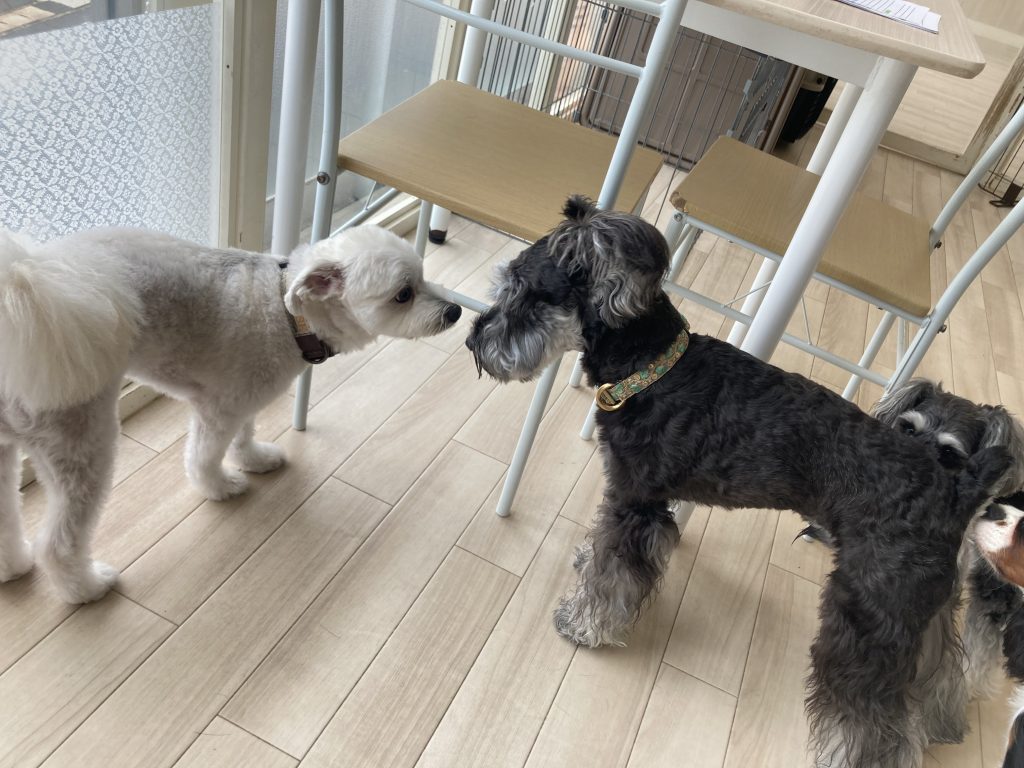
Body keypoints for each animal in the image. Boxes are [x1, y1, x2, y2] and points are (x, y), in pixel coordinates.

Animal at [0, 225, 460, 604]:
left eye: (422, 277)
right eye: (403, 294)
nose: (455, 311)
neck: (288, 313)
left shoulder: (244, 397)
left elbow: (244, 435)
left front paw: (254, 460)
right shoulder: (220, 407)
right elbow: (204, 457)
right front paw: (219, 487)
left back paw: (13, 566)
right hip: (80, 443)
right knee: (58, 543)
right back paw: (85, 588)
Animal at [464, 196, 1011, 768]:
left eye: (526, 293)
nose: (474, 341)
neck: (652, 370)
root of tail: (958, 486)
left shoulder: (637, 502)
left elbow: (611, 575)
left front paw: (582, 625)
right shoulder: (634, 501)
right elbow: (601, 552)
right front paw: (582, 565)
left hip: (866, 617)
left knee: (872, 720)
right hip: (920, 607)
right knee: (943, 669)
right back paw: (944, 725)